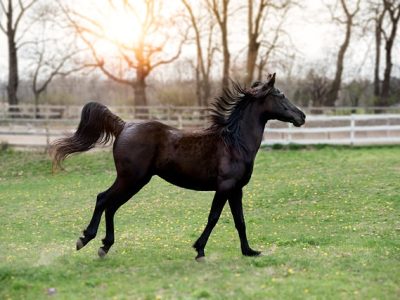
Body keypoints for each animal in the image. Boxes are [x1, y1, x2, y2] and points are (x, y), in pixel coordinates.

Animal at [51, 74, 304, 262]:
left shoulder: (236, 190)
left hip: (134, 181)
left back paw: (104, 246)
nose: (301, 116)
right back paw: (86, 239)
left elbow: (239, 221)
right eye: (280, 95)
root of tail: (124, 126)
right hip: (131, 178)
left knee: (111, 205)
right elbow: (214, 217)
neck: (235, 143)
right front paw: (199, 250)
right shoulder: (224, 187)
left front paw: (249, 251)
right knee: (103, 199)